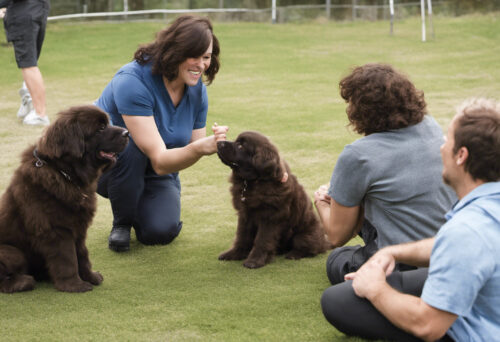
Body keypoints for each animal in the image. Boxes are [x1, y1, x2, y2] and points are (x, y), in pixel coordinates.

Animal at [0, 105, 129, 292]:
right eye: (100, 128)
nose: (127, 133)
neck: (65, 174)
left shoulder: (78, 228)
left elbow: (82, 255)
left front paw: (91, 277)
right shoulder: (57, 230)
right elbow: (68, 259)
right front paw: (74, 285)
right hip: (13, 253)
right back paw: (24, 281)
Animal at [217, 131, 330, 268]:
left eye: (241, 146)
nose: (218, 143)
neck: (251, 182)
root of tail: (326, 242)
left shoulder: (270, 217)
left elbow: (262, 240)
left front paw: (254, 261)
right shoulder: (245, 214)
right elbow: (242, 237)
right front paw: (234, 254)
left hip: (305, 234)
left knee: (311, 247)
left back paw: (294, 254)